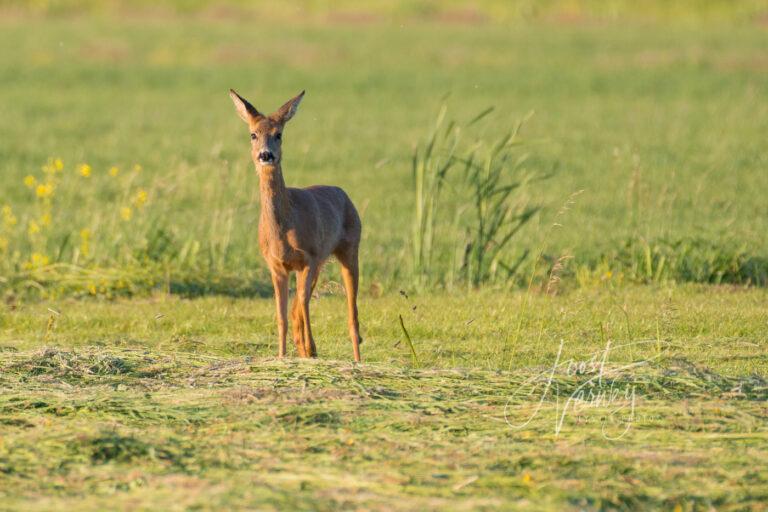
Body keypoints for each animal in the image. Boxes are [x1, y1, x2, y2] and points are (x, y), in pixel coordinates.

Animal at [228, 90, 364, 362]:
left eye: (279, 134)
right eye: (253, 134)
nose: (266, 155)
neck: (284, 228)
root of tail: (344, 194)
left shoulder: (308, 258)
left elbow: (302, 302)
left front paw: (311, 348)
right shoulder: (276, 265)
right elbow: (281, 314)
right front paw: (283, 356)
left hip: (349, 249)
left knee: (351, 315)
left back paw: (355, 359)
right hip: (322, 261)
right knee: (295, 310)